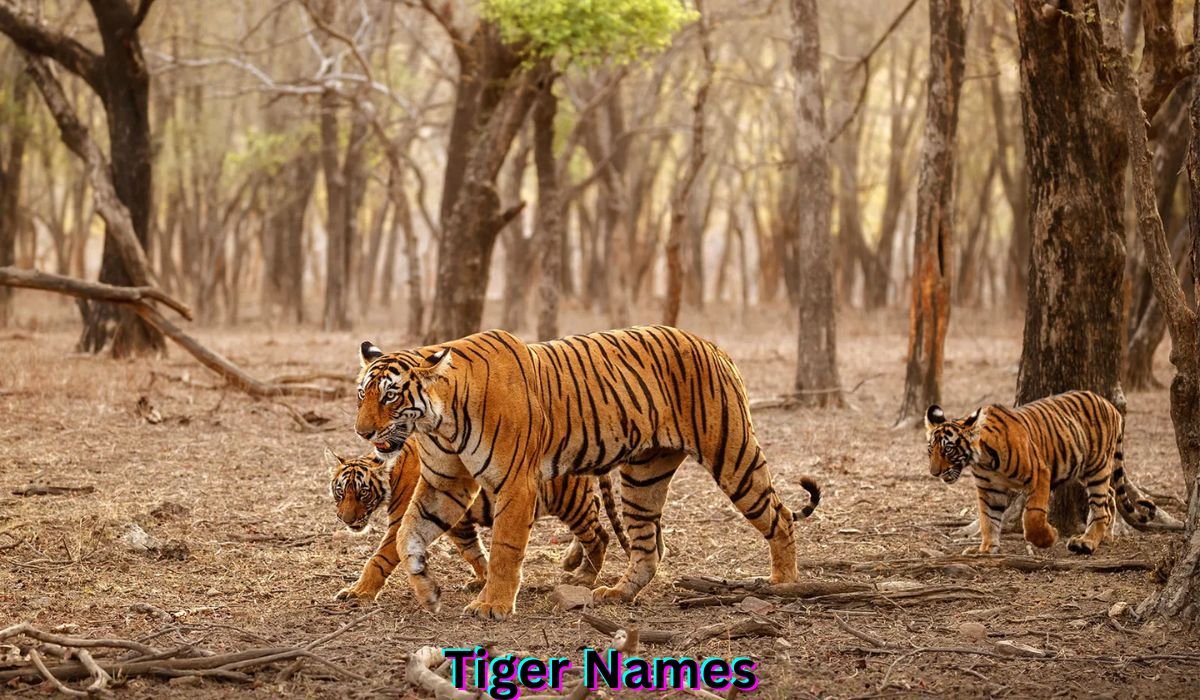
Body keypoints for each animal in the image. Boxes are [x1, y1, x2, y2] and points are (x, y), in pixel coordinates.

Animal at [325, 441, 629, 603]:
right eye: (340, 491)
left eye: (363, 492)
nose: (346, 518)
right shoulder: (456, 521)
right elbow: (473, 551)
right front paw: (483, 580)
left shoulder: (402, 523)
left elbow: (378, 560)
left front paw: (357, 592)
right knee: (595, 513)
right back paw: (572, 561)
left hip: (569, 500)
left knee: (599, 535)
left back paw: (584, 576)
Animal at [925, 390, 1177, 556]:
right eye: (930, 450)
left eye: (948, 449)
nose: (934, 473)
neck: (982, 459)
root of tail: (1110, 405)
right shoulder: (989, 488)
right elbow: (988, 519)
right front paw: (986, 549)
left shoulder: (1039, 474)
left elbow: (1033, 516)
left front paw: (1048, 538)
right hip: (1086, 470)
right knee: (1111, 496)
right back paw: (1105, 537)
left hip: (1097, 466)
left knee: (1102, 507)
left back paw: (1087, 542)